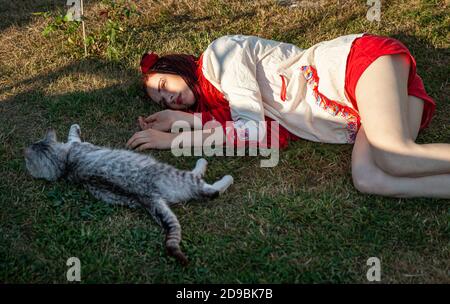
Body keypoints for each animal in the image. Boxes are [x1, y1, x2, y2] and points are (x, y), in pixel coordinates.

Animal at [25, 124, 234, 264]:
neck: (66, 164)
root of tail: (146, 196)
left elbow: (72, 138)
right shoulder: (80, 145)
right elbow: (73, 137)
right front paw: (74, 127)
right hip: (177, 176)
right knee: (208, 189)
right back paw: (213, 170)